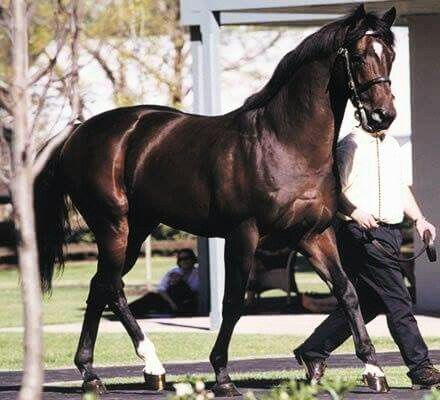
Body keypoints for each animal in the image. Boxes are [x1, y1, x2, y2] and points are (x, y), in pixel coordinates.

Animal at [34, 4, 398, 396]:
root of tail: (79, 132)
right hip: (112, 225)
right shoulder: (243, 234)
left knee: (105, 287)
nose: (383, 116)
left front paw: (375, 370)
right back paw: (108, 371)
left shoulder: (314, 235)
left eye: (390, 55)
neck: (285, 142)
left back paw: (131, 369)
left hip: (138, 227)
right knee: (107, 285)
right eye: (358, 56)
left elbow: (347, 292)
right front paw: (222, 375)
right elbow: (234, 302)